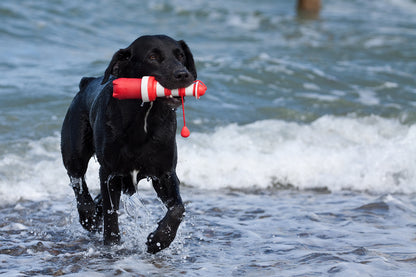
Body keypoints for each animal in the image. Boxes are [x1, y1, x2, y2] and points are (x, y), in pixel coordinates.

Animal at [61, 34, 197, 252]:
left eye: (181, 56)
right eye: (152, 57)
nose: (183, 74)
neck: (144, 116)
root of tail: (87, 82)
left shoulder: (165, 173)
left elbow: (178, 209)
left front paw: (158, 240)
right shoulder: (110, 174)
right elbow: (111, 215)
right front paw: (112, 244)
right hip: (74, 150)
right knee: (77, 181)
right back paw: (88, 215)